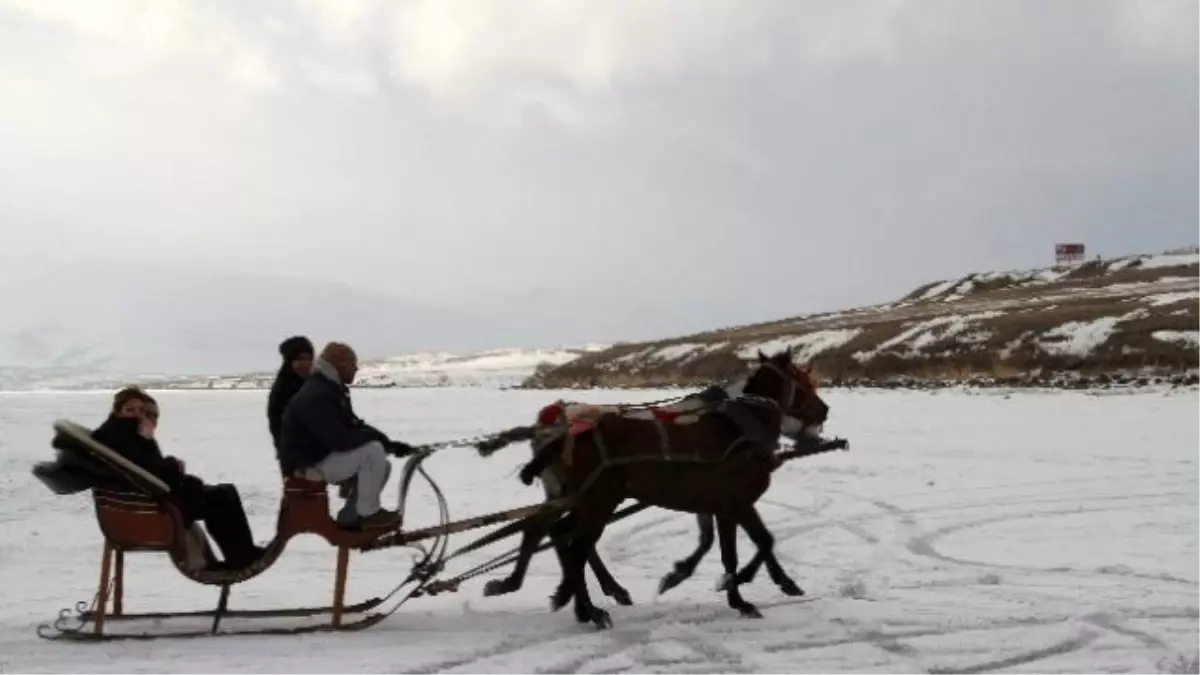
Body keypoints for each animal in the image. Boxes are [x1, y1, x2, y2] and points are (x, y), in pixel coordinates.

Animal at [482, 345, 830, 624]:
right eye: (803, 380)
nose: (824, 410)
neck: (740, 429)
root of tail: (558, 428)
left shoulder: (723, 504)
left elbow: (750, 542)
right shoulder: (734, 503)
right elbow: (744, 549)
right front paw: (740, 592)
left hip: (578, 497)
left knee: (552, 533)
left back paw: (565, 596)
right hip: (598, 500)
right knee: (573, 544)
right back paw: (588, 607)